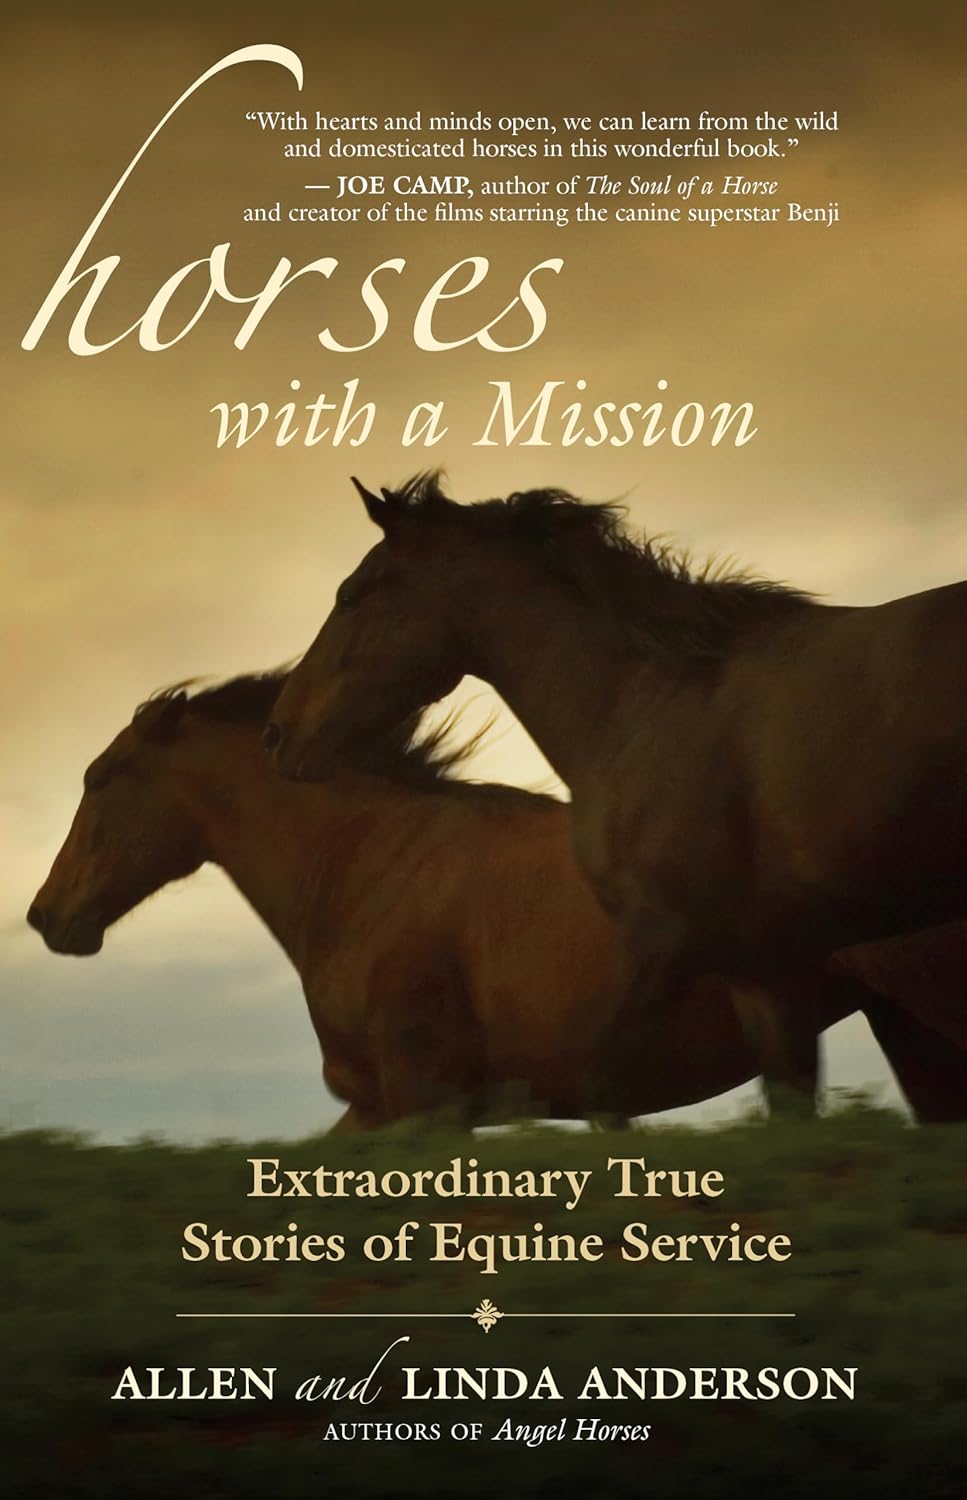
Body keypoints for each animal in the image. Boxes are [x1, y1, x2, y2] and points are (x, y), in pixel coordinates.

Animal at [27, 672, 965, 1127]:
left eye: (102, 778)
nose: (45, 916)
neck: (368, 871)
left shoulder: (427, 1102)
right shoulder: (377, 1110)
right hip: (903, 1027)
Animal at [264, 475, 967, 1102]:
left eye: (350, 595)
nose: (279, 732)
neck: (638, 703)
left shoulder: (662, 944)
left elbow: (599, 1082)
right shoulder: (764, 972)